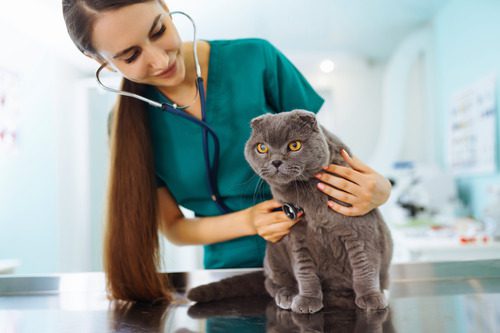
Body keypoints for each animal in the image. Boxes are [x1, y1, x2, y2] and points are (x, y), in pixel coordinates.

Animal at [244, 109, 392, 312]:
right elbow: (304, 270)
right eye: (262, 148)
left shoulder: (359, 227)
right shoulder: (296, 235)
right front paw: (307, 300)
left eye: (294, 145)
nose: (276, 161)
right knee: (271, 282)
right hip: (274, 252)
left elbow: (364, 264)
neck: (305, 190)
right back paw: (287, 294)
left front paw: (371, 297)